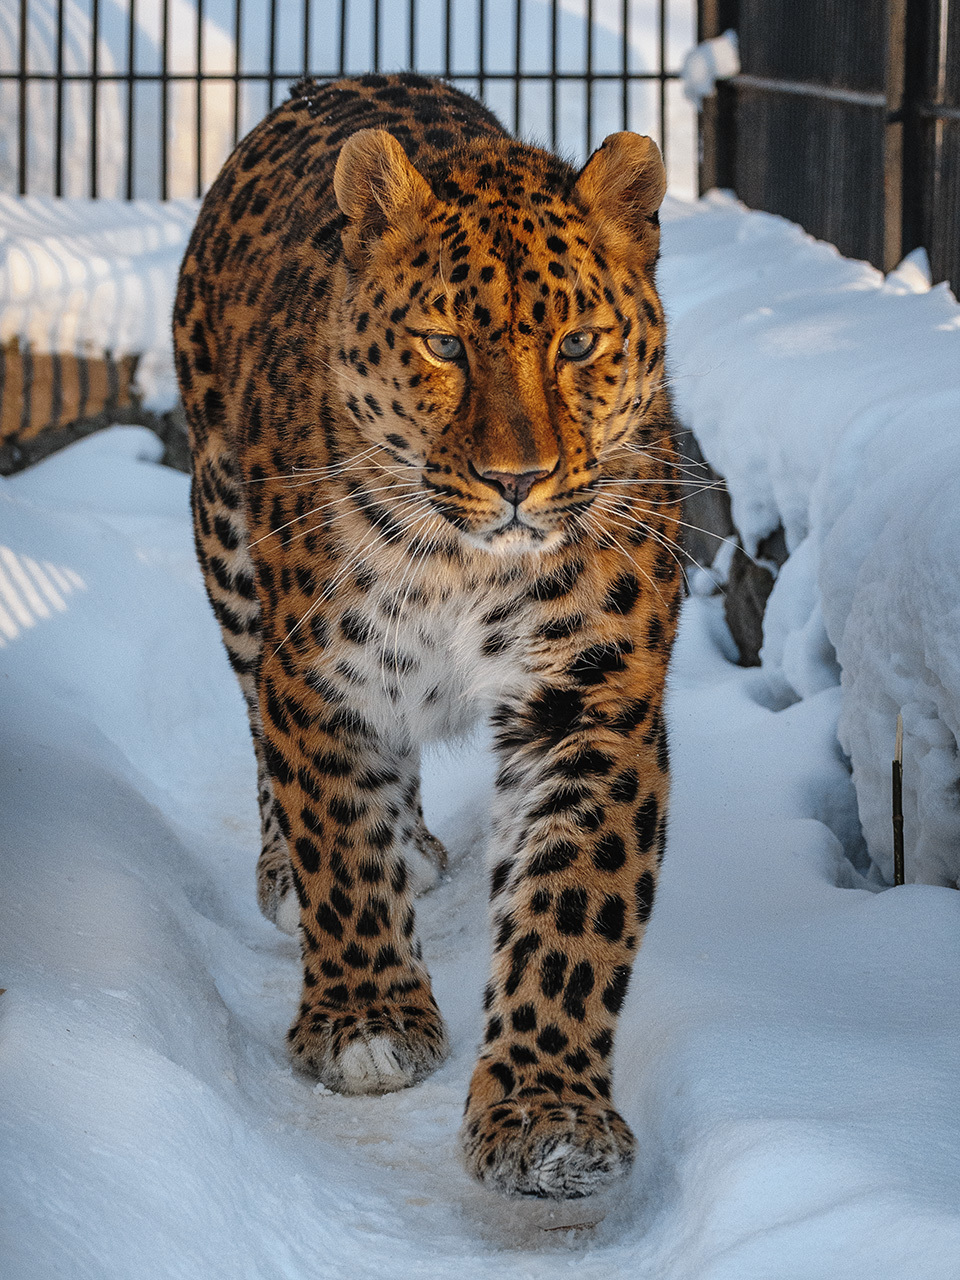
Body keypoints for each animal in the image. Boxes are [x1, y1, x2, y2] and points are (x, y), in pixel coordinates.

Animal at [172, 74, 686, 1198]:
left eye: (576, 344)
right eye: (444, 345)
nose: (515, 481)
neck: (467, 566)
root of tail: (350, 78)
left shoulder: (593, 705)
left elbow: (571, 913)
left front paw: (549, 1114)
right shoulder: (323, 679)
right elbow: (336, 835)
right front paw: (366, 1018)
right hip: (227, 550)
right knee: (262, 735)